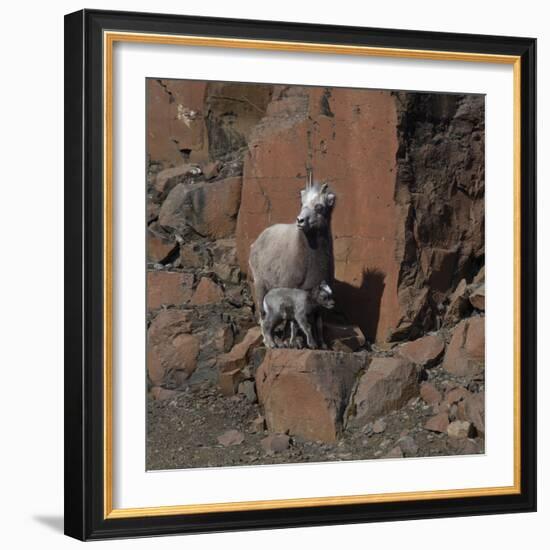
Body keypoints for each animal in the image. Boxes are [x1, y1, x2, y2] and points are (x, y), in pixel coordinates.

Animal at [249, 177, 336, 350]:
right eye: (302, 204)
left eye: (319, 206)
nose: (300, 221)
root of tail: (256, 243)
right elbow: (293, 323)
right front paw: (291, 342)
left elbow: (318, 322)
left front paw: (322, 345)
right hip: (260, 286)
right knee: (263, 315)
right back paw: (269, 342)